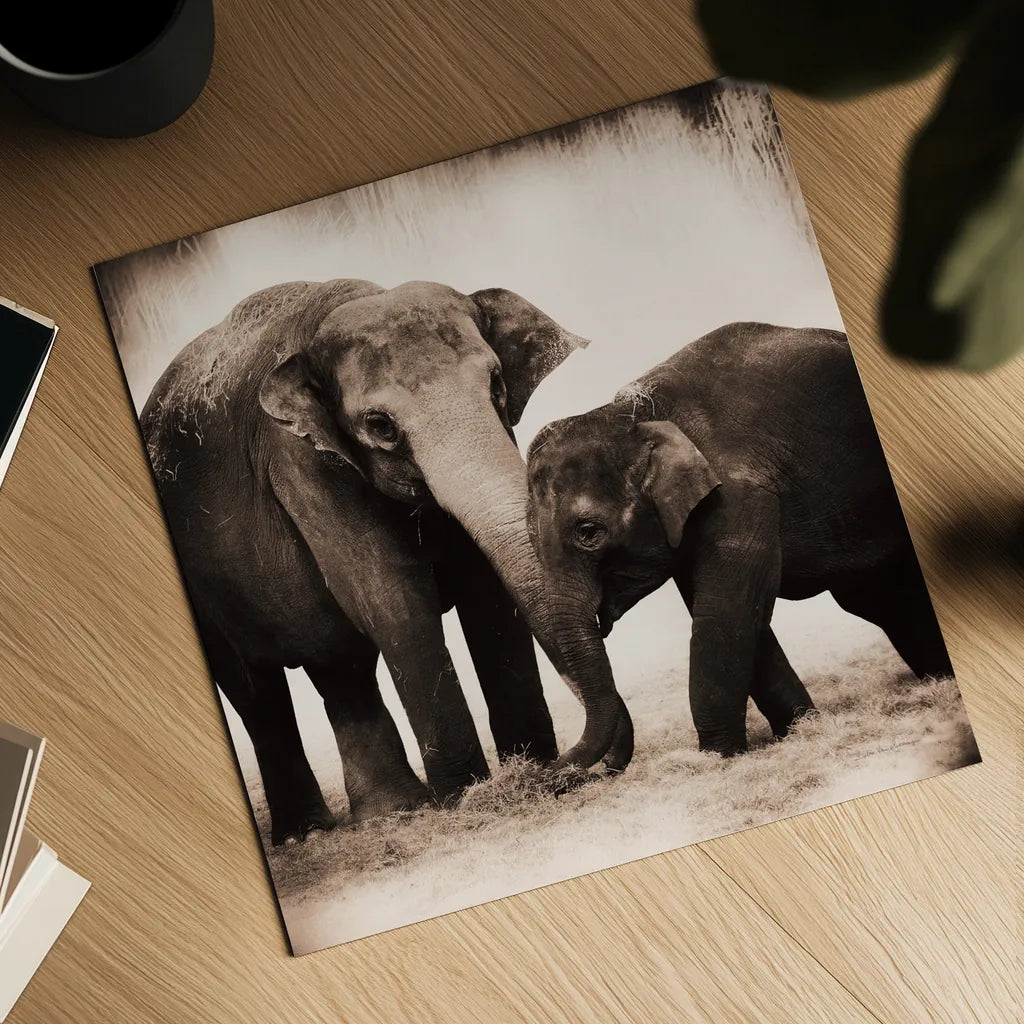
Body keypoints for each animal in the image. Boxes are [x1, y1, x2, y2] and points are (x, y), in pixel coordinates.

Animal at [141, 278, 630, 845]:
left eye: (497, 385)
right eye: (380, 425)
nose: (572, 769)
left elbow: (487, 592)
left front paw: (525, 770)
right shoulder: (304, 464)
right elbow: (393, 601)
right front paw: (469, 797)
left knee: (339, 667)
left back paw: (392, 812)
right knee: (258, 691)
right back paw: (308, 834)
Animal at [526, 321, 953, 759]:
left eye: (589, 533)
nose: (555, 767)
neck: (636, 415)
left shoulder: (738, 496)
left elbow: (723, 612)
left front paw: (717, 756)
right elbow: (738, 615)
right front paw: (797, 730)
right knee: (881, 598)